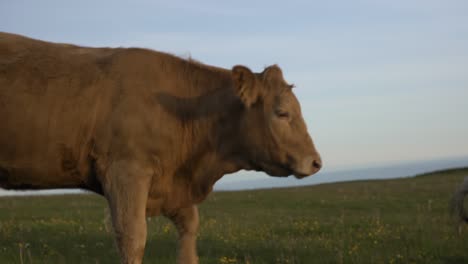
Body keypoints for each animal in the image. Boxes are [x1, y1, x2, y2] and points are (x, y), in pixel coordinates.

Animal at [0, 33, 320, 264]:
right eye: (282, 113)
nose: (316, 162)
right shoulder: (125, 171)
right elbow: (132, 237)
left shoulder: (173, 185)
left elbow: (190, 227)